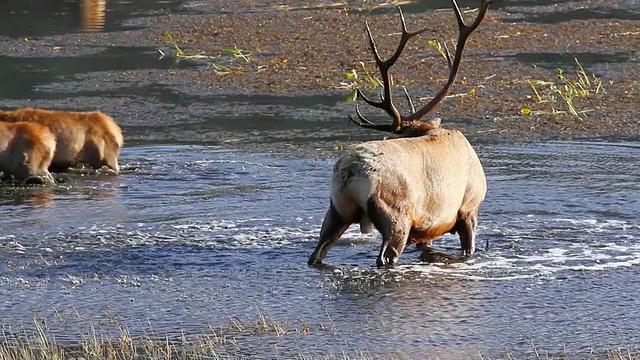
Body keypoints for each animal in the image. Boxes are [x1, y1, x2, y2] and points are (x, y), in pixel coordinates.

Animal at [308, 0, 492, 268]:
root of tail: (350, 173)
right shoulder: (468, 208)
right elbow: (468, 248)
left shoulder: (428, 227)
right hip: (396, 214)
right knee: (385, 256)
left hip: (337, 209)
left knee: (317, 253)